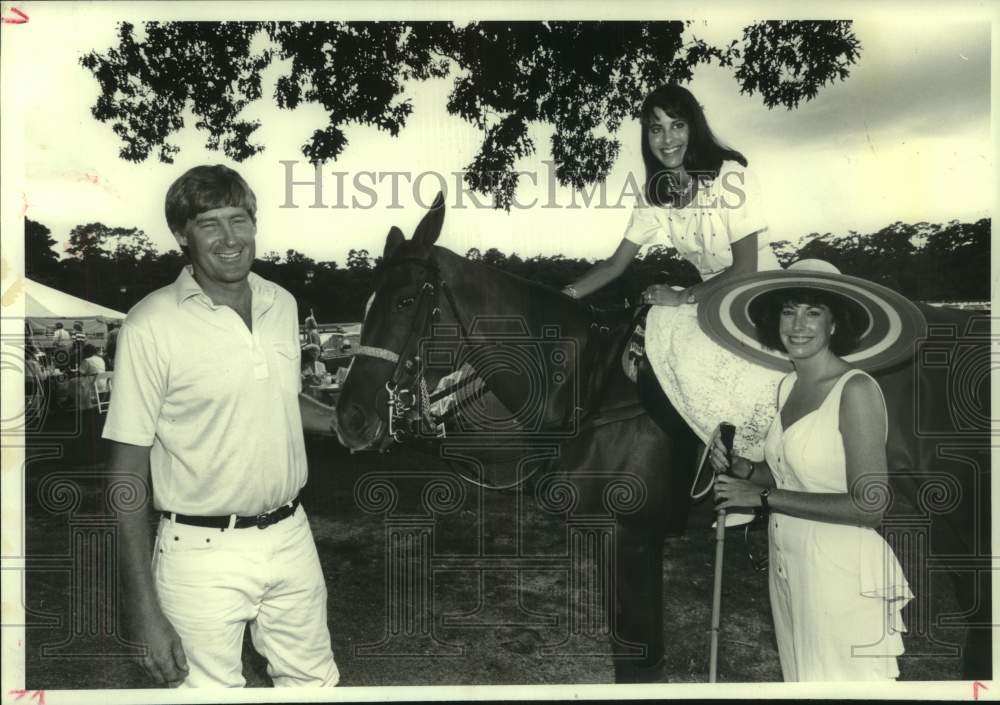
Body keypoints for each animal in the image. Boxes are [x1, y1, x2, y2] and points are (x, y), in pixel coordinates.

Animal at [338, 194, 992, 680]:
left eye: (405, 301)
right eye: (363, 303)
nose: (351, 419)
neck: (586, 383)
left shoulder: (636, 536)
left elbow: (641, 659)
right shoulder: (608, 536)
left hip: (959, 501)